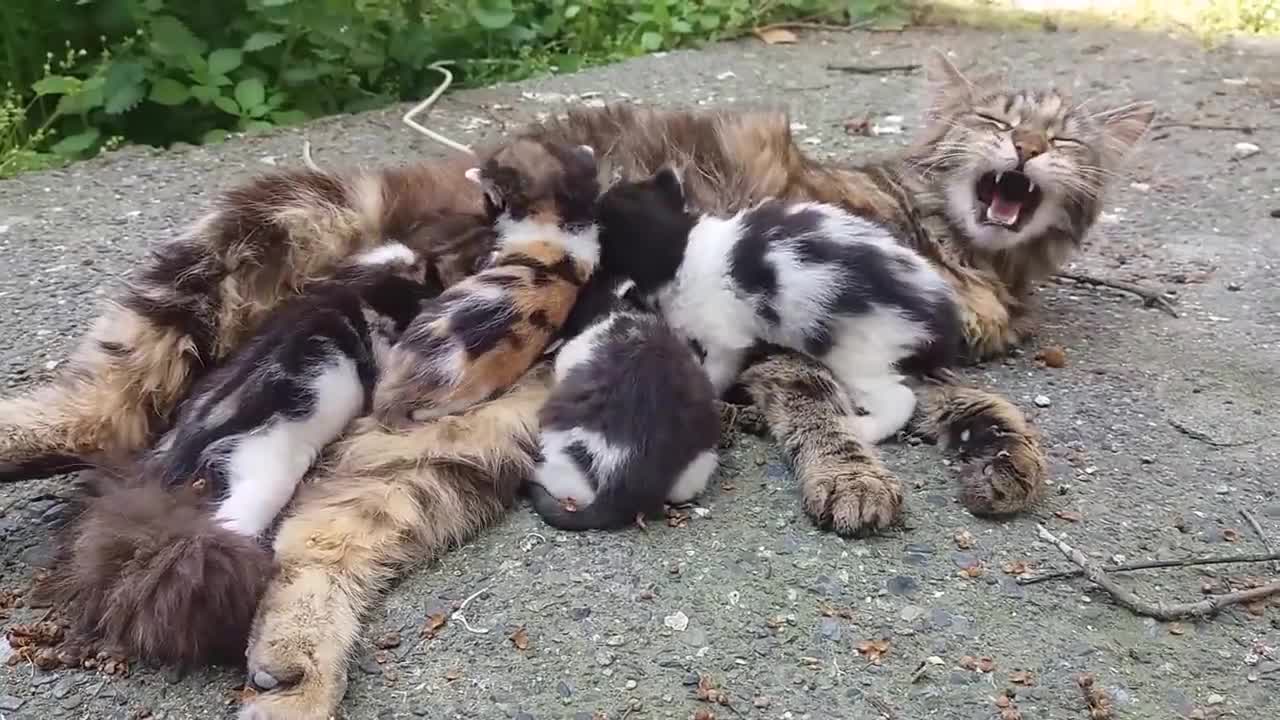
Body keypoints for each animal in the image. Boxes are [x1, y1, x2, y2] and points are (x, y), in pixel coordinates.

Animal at [596, 166, 962, 443]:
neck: (679, 245)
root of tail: (934, 306)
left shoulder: (724, 337)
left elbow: (717, 368)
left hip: (862, 354)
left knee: (900, 398)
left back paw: (863, 428)